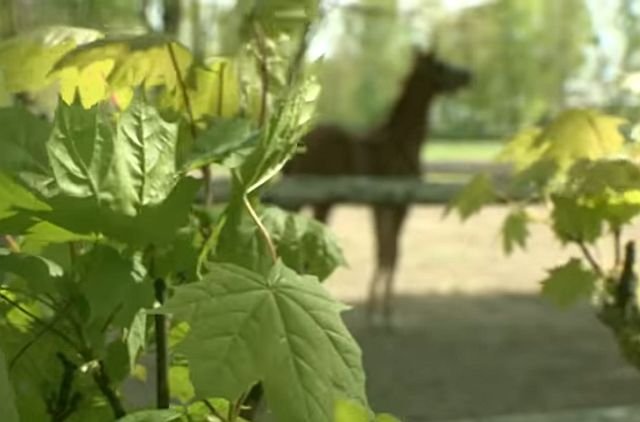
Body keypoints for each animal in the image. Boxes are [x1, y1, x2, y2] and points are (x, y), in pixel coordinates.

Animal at [284, 52, 470, 326]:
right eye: (440, 66)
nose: (469, 75)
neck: (398, 143)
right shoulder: (395, 205)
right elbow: (389, 253)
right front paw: (382, 314)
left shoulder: (389, 207)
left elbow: (388, 252)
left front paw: (379, 311)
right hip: (317, 201)